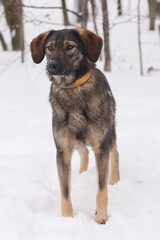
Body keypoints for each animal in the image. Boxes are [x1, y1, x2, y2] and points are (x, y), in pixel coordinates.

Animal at [30, 28, 119, 225]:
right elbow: (65, 192)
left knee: (115, 153)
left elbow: (101, 190)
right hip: (74, 142)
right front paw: (67, 220)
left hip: (110, 133)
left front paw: (101, 217)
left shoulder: (101, 148)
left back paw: (115, 179)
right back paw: (80, 174)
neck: (73, 89)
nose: (52, 66)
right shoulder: (62, 150)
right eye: (49, 47)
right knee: (84, 152)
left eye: (70, 47)